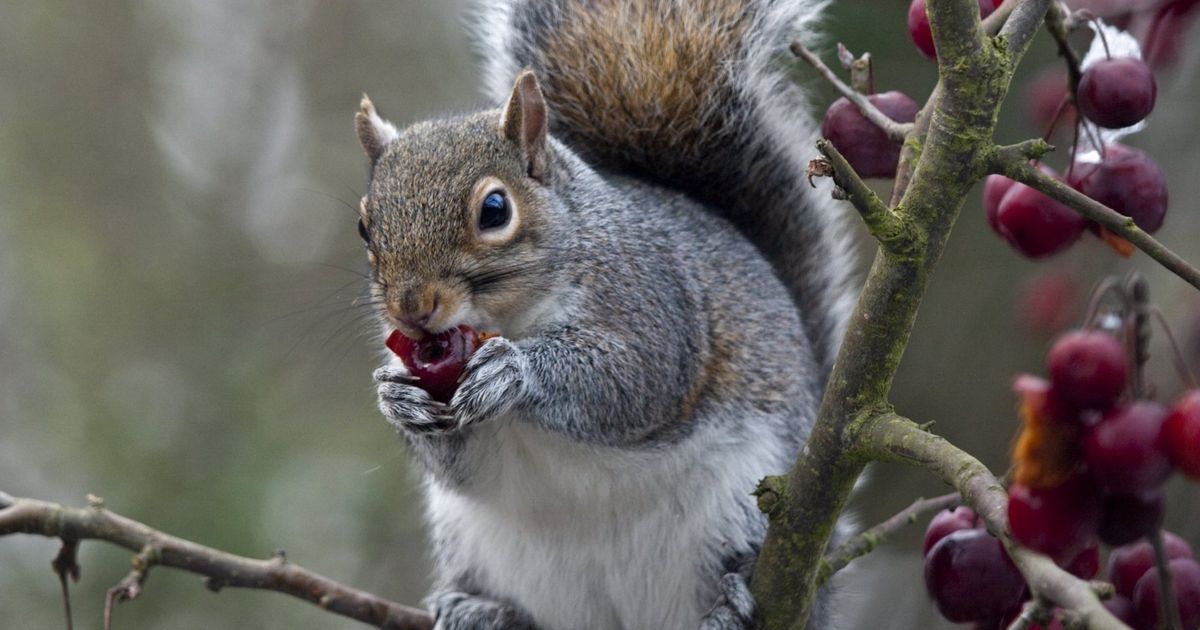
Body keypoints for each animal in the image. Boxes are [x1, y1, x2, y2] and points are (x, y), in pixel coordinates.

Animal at [352, 1, 854, 628]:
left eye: (494, 209)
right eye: (364, 226)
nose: (413, 309)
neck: (511, 319)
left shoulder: (653, 301)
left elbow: (634, 378)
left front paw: (514, 372)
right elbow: (457, 467)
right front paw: (397, 396)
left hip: (753, 508)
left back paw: (734, 595)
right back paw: (478, 609)